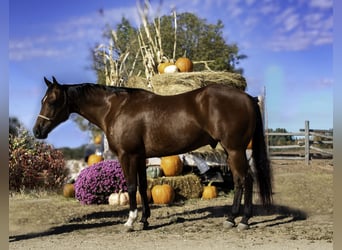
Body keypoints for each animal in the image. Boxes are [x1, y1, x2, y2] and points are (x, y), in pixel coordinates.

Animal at [32, 76, 272, 230]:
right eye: (43, 100)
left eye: (52, 101)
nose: (37, 131)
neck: (115, 109)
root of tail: (248, 98)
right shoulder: (140, 156)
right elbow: (142, 186)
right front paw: (144, 220)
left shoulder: (127, 155)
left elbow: (130, 186)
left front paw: (130, 221)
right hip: (232, 151)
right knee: (242, 180)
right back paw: (233, 219)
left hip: (235, 150)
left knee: (246, 180)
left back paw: (241, 221)